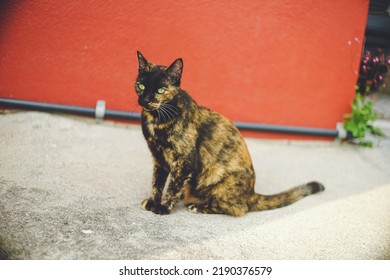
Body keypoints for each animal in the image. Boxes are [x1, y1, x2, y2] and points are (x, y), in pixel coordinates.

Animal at [134, 50, 322, 217]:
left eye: (161, 90)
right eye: (141, 86)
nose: (145, 100)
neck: (157, 119)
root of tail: (251, 194)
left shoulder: (185, 162)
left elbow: (172, 186)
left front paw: (163, 207)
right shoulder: (159, 158)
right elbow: (157, 183)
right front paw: (153, 202)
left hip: (217, 176)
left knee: (237, 208)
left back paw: (198, 206)